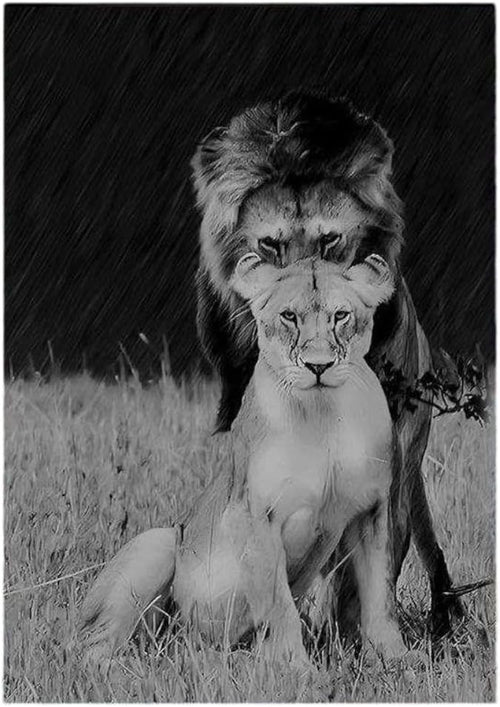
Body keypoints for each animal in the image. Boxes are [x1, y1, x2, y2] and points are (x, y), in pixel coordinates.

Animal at [80, 254, 406, 666]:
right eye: (289, 316)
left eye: (341, 315)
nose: (318, 366)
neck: (322, 412)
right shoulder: (253, 514)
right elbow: (278, 604)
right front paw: (294, 667)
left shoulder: (371, 511)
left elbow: (380, 596)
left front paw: (398, 661)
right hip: (157, 542)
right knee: (92, 644)